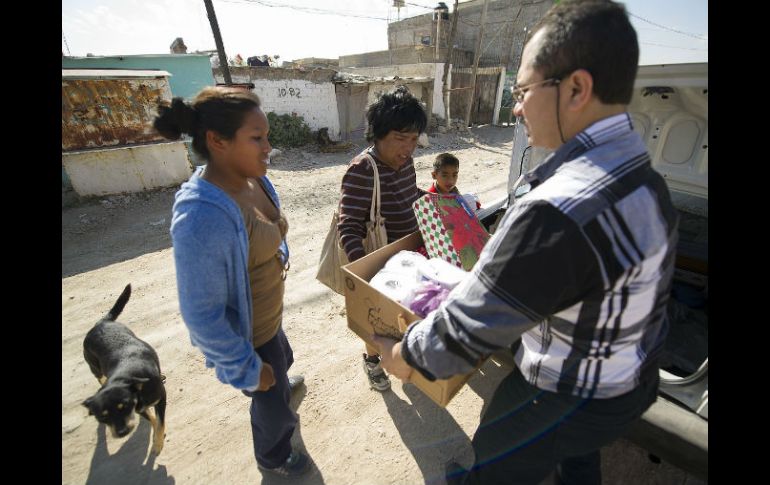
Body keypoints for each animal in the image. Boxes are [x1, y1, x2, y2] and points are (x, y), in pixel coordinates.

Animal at [81, 284, 165, 454]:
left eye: (123, 406)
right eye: (103, 417)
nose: (122, 432)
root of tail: (100, 323)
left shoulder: (161, 398)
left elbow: (160, 422)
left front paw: (158, 443)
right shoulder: (139, 408)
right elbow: (153, 419)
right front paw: (156, 438)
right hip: (94, 366)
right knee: (100, 377)